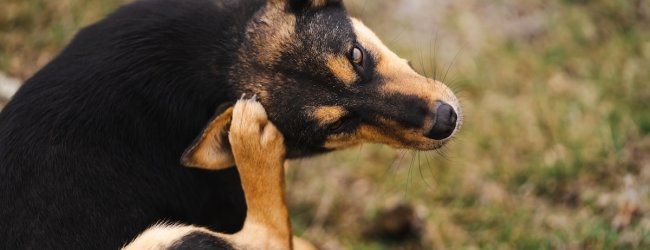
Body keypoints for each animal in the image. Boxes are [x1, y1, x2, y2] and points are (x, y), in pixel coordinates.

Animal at [0, 0, 460, 248]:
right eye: (337, 127)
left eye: (357, 55)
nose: (445, 121)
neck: (217, 59)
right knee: (269, 236)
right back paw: (251, 142)